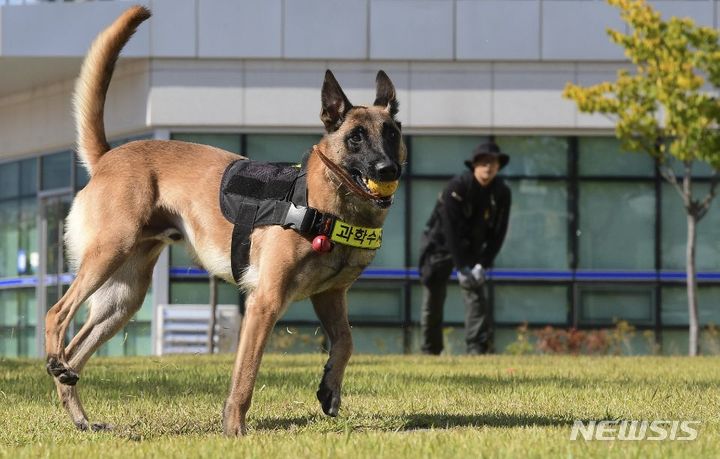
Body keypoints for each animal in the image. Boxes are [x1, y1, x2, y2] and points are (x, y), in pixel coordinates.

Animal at [43, 8, 404, 438]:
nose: (388, 169)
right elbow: (245, 375)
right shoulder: (265, 302)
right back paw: (55, 362)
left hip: (122, 297)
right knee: (56, 314)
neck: (325, 202)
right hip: (108, 255)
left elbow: (346, 342)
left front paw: (329, 388)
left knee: (76, 353)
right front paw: (235, 429)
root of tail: (108, 157)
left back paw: (79, 415)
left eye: (392, 133)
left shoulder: (329, 295)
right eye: (356, 138)